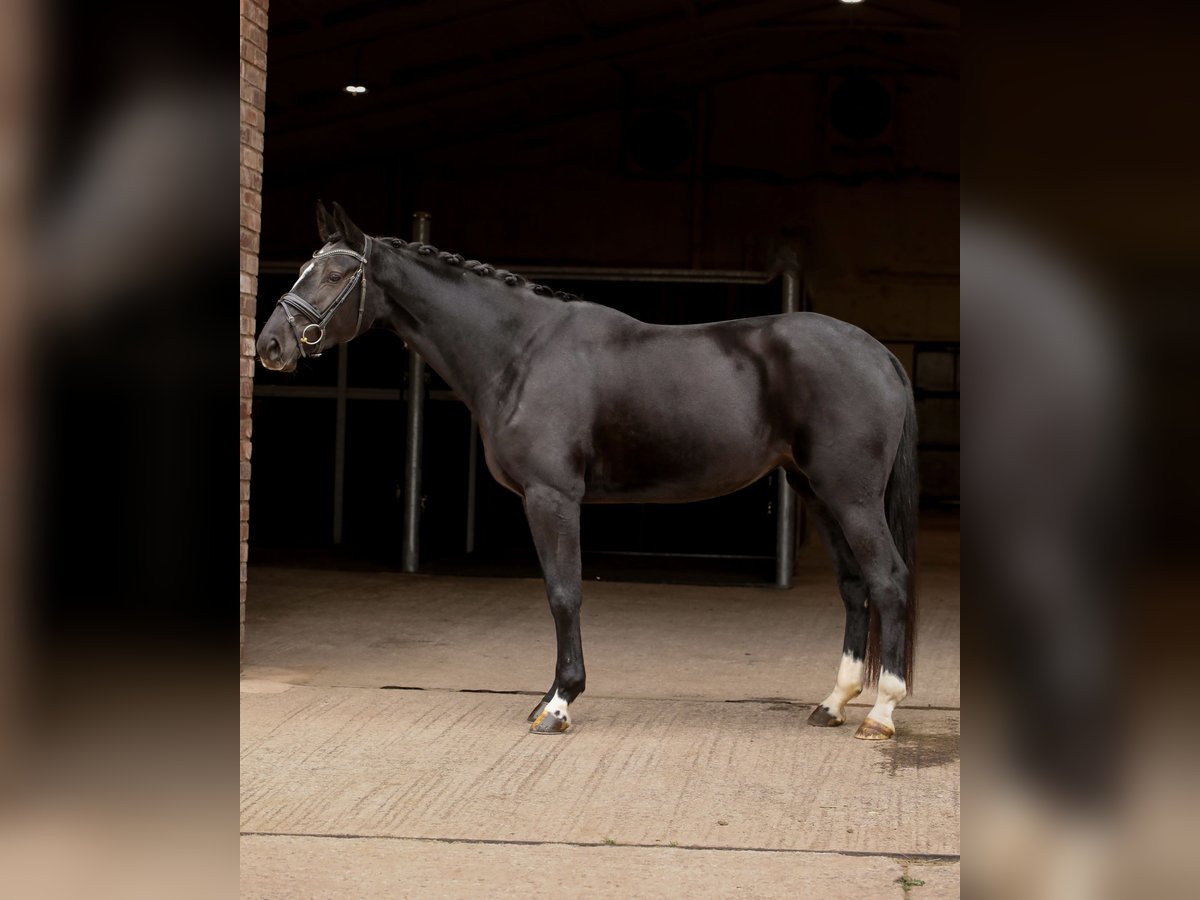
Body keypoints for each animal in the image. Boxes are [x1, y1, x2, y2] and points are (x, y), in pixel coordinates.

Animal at [256, 201, 918, 740]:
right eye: (301, 270)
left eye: (335, 275)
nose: (270, 346)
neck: (520, 352)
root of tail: (879, 354)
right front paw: (550, 697)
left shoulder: (551, 497)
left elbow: (563, 593)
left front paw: (559, 703)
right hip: (816, 492)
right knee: (854, 586)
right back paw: (834, 703)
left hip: (851, 497)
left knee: (887, 579)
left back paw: (883, 712)